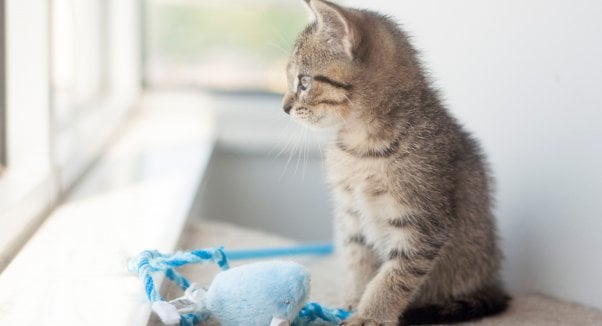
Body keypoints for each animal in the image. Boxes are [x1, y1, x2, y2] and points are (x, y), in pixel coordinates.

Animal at [284, 0, 508, 326]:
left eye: (303, 81)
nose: (284, 107)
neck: (359, 146)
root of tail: (493, 280)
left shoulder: (422, 221)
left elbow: (395, 275)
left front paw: (371, 315)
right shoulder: (352, 213)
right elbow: (359, 258)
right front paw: (356, 299)